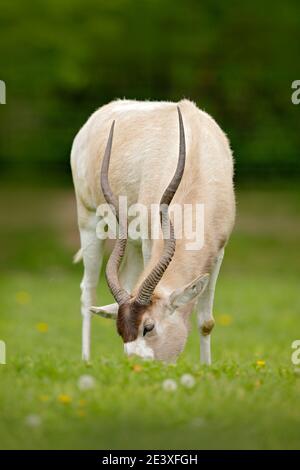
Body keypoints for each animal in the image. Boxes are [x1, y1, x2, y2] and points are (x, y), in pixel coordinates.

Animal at [71, 99, 236, 364]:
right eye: (121, 331)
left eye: (148, 327)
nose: (135, 366)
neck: (196, 158)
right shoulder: (151, 241)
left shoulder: (218, 251)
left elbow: (206, 322)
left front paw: (206, 367)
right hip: (89, 221)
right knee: (88, 292)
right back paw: (86, 359)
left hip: (132, 244)